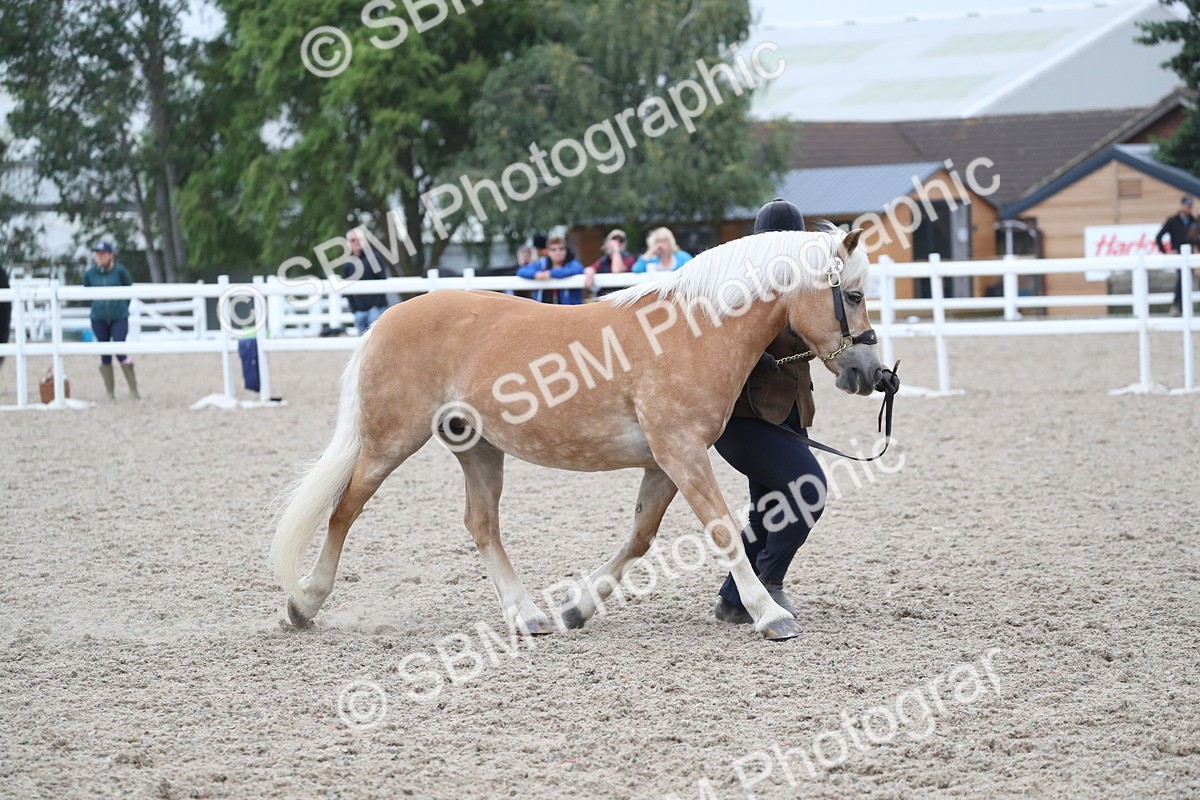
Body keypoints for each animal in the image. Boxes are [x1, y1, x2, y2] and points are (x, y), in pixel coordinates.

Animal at [271, 228, 884, 640]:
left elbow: (639, 538)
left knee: (481, 525)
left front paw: (578, 606)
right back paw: (305, 603)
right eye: (852, 295)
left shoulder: (665, 463)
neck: (693, 332)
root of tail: (386, 319)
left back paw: (528, 615)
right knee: (344, 510)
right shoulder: (682, 453)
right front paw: (770, 614)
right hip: (389, 442)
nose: (873, 374)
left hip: (477, 447)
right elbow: (723, 531)